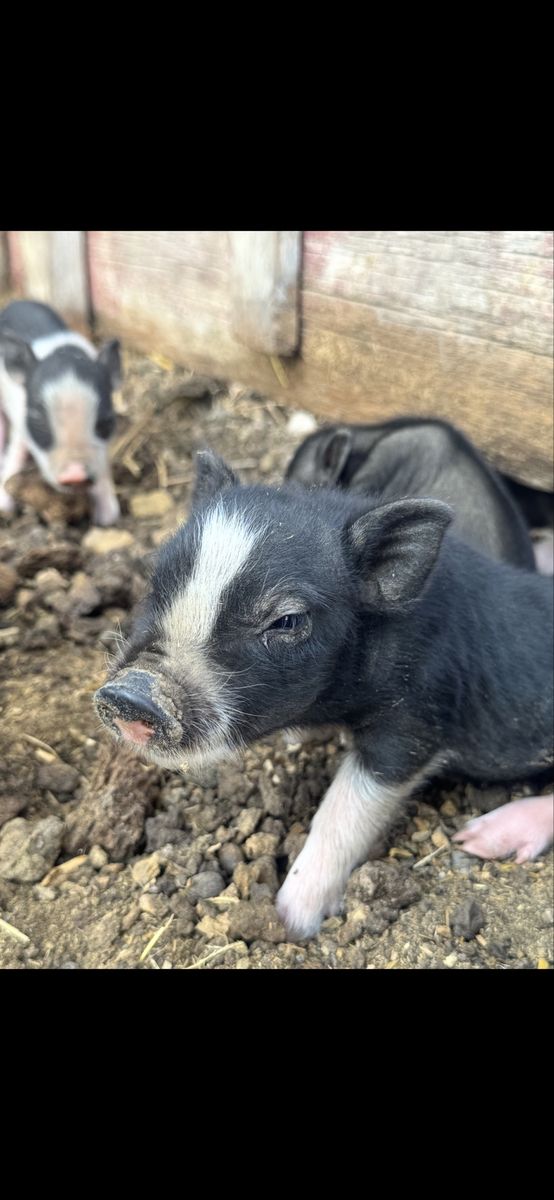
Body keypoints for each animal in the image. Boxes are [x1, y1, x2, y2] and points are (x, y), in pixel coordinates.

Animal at [0, 300, 121, 525]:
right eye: (38, 419)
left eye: (105, 420)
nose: (75, 474)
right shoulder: (21, 424)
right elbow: (15, 453)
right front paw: (4, 508)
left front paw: (108, 518)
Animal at [94, 452, 554, 938]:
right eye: (157, 582)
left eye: (287, 621)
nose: (131, 693)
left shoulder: (417, 718)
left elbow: (344, 809)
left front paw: (289, 920)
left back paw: (477, 838)